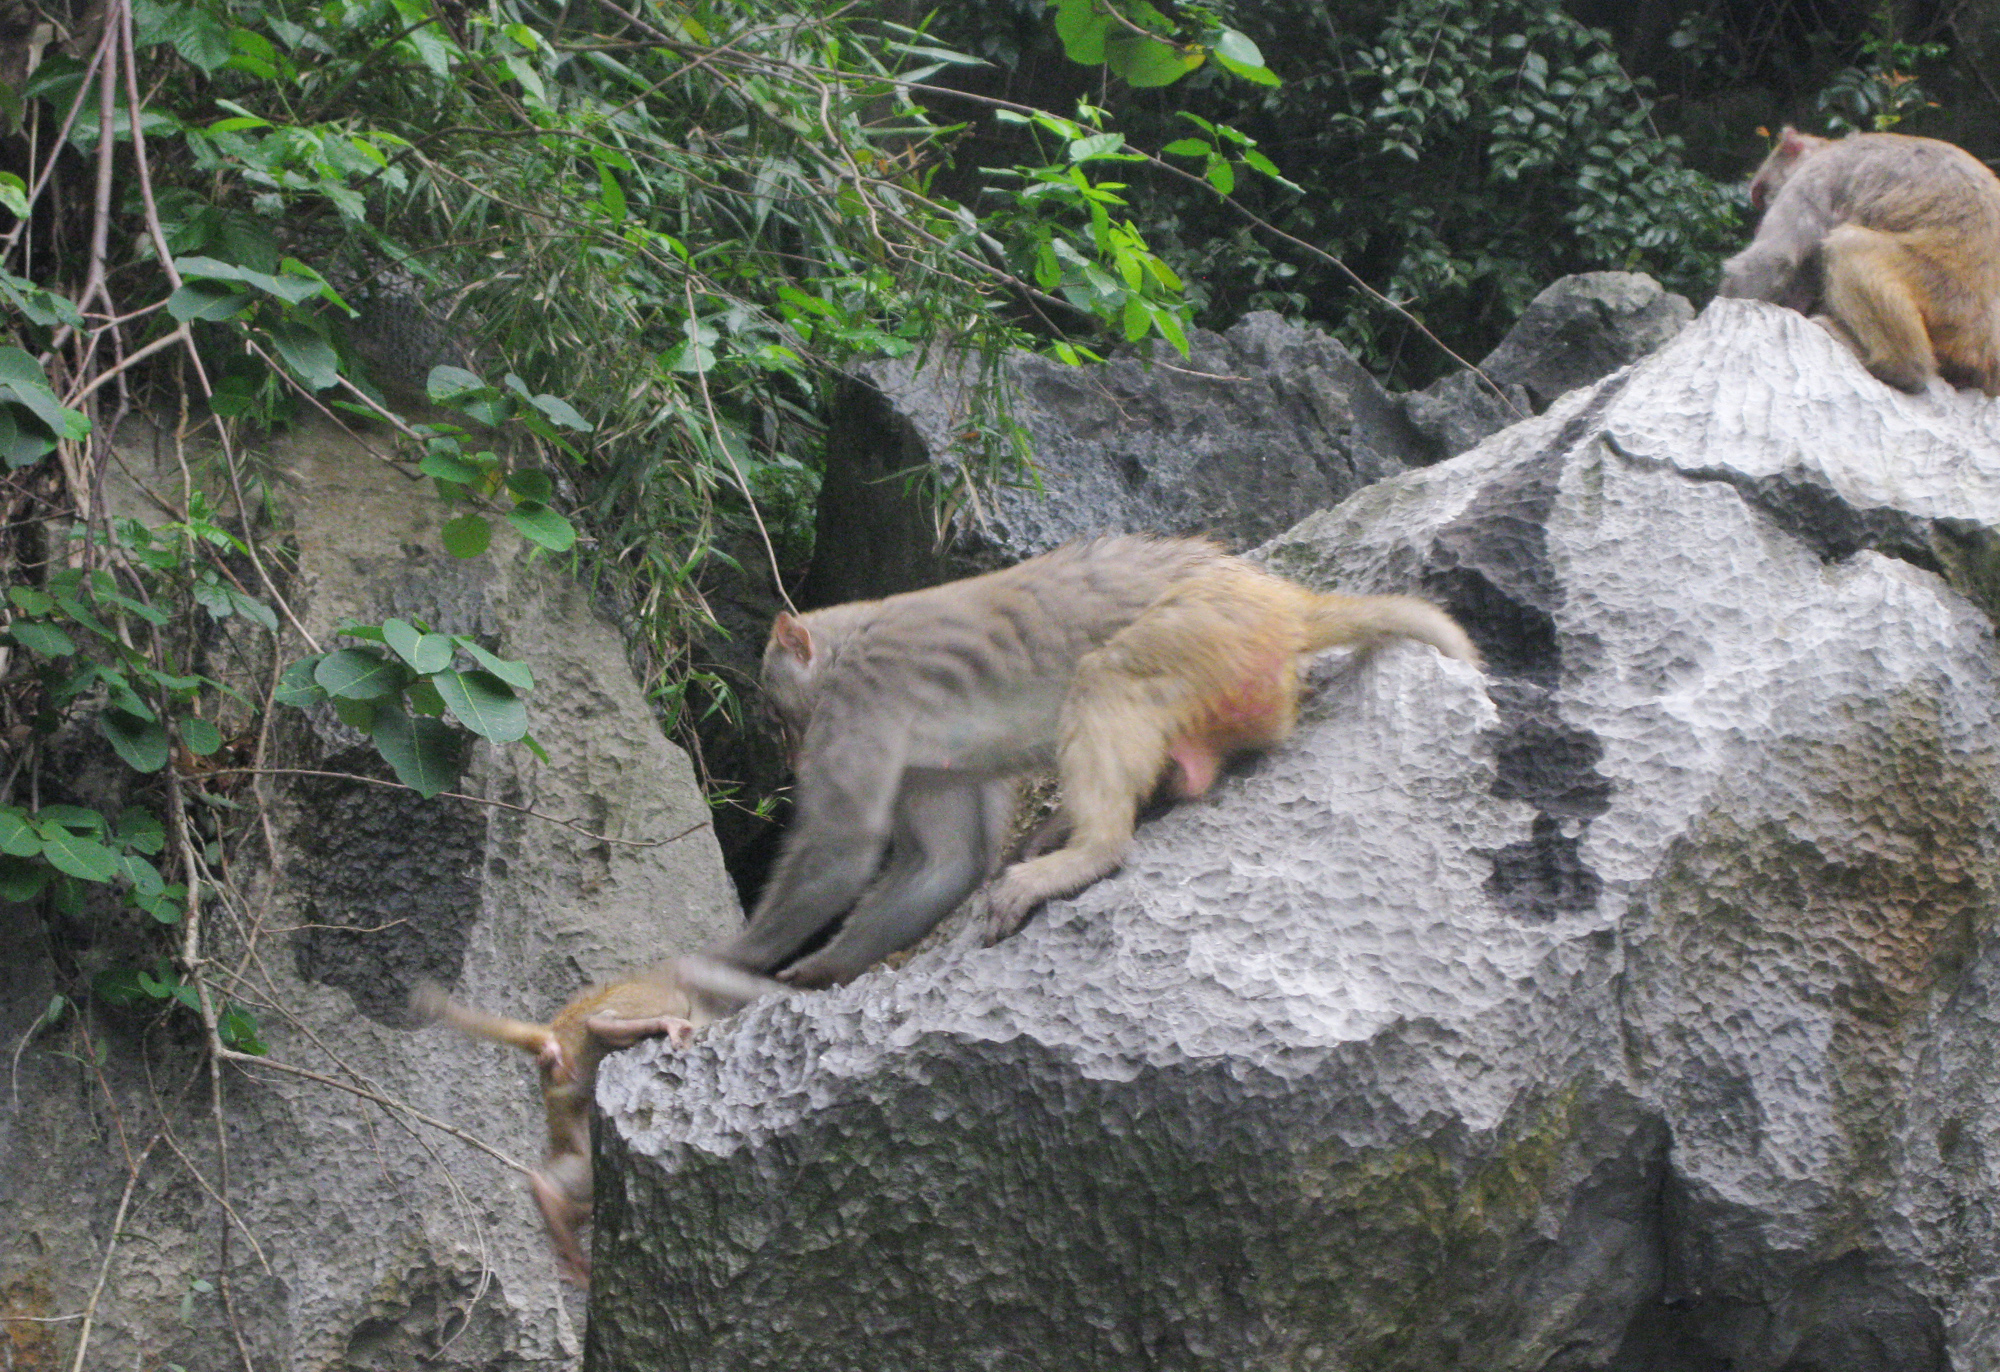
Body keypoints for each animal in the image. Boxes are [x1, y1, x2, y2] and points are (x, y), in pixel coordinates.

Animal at [413, 962, 782, 1284]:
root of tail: (559, 1027)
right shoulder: (585, 1174)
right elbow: (550, 1190)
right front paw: (579, 1264)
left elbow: (556, 1195)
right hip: (632, 1004)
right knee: (603, 1026)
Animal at [688, 536, 1479, 994]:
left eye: (778, 718)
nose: (792, 757)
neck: (851, 641)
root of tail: (1288, 603)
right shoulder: (924, 764)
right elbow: (945, 863)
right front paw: (819, 970)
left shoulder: (864, 701)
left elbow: (843, 849)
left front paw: (727, 962)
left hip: (1203, 629)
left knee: (1107, 677)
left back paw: (1086, 850)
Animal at [1716, 127, 2000, 396]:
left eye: (1760, 194)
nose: (1757, 221)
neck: (1830, 147)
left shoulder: (1814, 175)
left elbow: (1774, 259)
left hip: (1946, 300)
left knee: (1847, 245)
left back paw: (1900, 368)